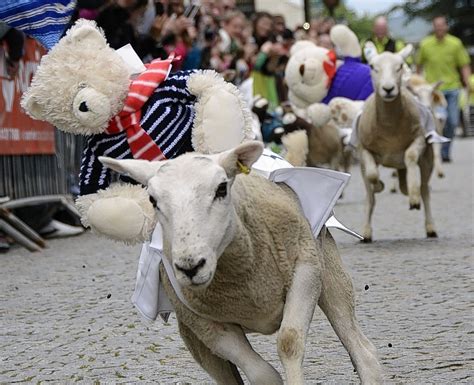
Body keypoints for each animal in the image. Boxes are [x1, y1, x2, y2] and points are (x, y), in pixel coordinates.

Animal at [99, 142, 382, 384]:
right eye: (152, 200)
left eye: (221, 189)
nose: (190, 266)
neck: (245, 280)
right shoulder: (204, 324)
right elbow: (262, 375)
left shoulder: (305, 271)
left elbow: (289, 342)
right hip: (192, 335)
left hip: (328, 271)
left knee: (363, 351)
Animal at [356, 45, 436, 240]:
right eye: (372, 66)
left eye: (400, 66)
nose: (388, 88)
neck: (389, 128)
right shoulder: (364, 150)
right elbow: (372, 174)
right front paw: (379, 185)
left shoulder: (418, 140)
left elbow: (411, 155)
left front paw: (414, 197)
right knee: (371, 196)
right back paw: (366, 232)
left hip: (427, 159)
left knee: (424, 189)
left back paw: (429, 224)